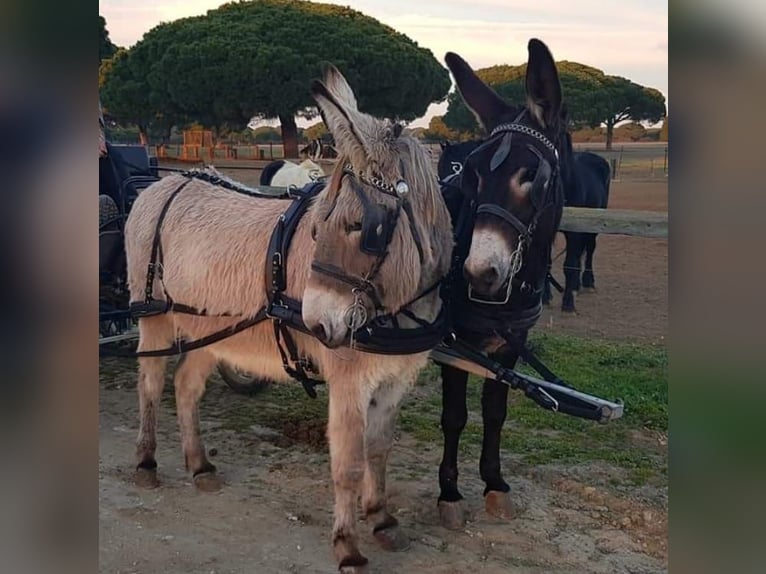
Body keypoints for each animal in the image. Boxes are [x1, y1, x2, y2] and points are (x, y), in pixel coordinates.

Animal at [436, 39, 568, 528]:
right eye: (472, 172)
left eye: (533, 175)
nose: (480, 273)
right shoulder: (454, 343)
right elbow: (455, 415)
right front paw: (450, 493)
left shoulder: (512, 344)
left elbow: (496, 413)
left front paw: (494, 483)